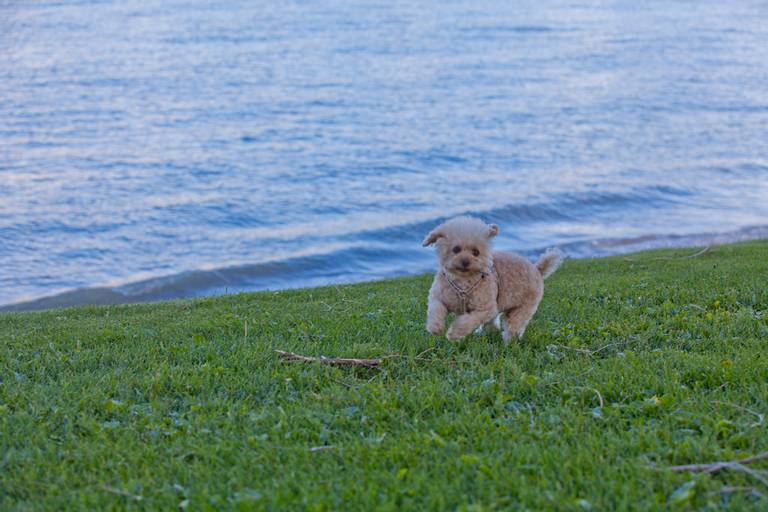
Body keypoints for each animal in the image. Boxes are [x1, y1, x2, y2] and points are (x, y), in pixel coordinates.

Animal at [424, 214, 560, 342]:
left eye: (476, 252)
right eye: (456, 249)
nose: (465, 262)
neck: (462, 282)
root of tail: (537, 269)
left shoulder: (486, 309)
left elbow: (468, 321)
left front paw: (454, 333)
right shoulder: (437, 296)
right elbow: (436, 309)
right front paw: (435, 327)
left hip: (523, 308)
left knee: (514, 326)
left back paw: (508, 342)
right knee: (495, 325)